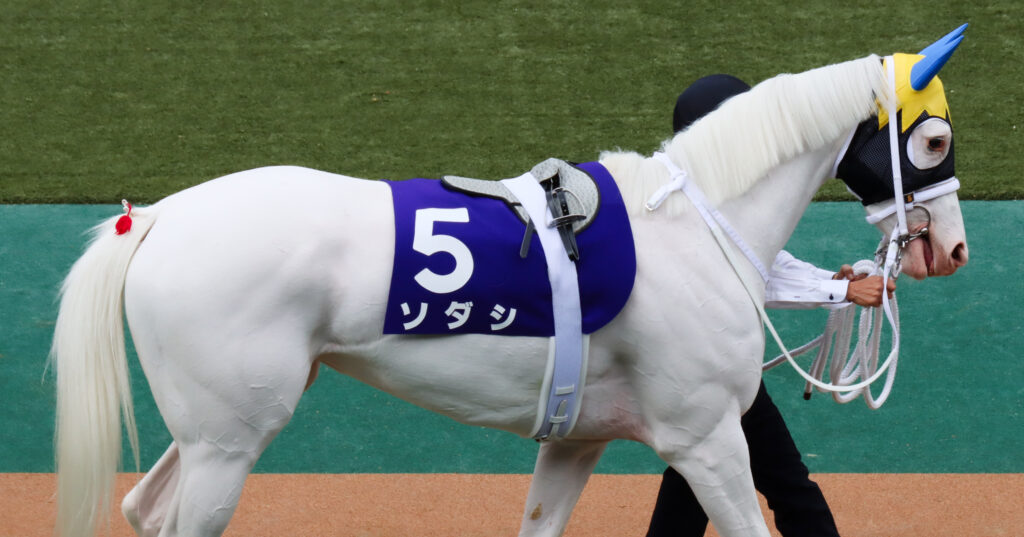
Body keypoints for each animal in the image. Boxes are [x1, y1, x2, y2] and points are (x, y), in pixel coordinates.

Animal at [53, 34, 969, 537]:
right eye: (932, 140)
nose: (953, 249)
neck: (694, 226)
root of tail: (161, 215)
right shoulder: (706, 434)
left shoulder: (577, 437)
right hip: (229, 442)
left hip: (220, 428)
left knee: (144, 509)